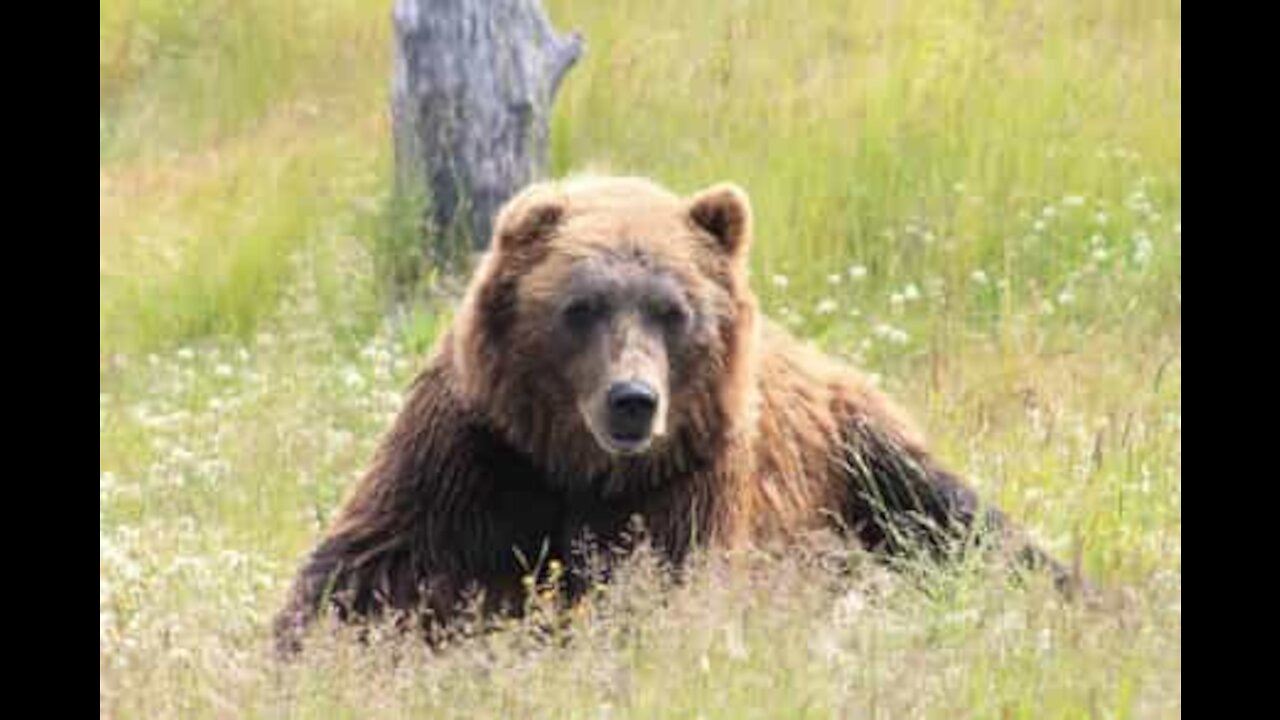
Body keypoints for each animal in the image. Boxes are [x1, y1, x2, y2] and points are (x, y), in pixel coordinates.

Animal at [275, 174, 1085, 650]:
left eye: (673, 310)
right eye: (581, 306)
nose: (633, 401)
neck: (579, 468)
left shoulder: (687, 477)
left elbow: (657, 591)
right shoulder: (479, 453)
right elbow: (371, 569)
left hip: (861, 454)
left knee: (961, 523)